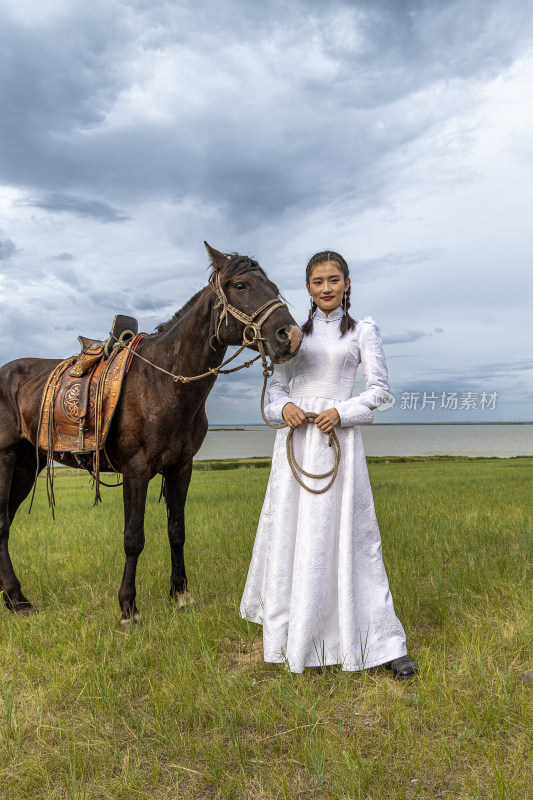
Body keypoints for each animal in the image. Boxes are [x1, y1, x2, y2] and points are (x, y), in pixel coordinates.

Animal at [0, 244, 302, 624]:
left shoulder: (181, 468)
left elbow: (177, 531)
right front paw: (128, 607)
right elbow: (134, 538)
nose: (291, 336)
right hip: (6, 460)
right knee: (1, 523)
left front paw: (181, 594)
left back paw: (13, 598)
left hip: (27, 465)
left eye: (274, 287)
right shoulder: (136, 470)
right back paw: (16, 598)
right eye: (241, 285)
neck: (163, 381)